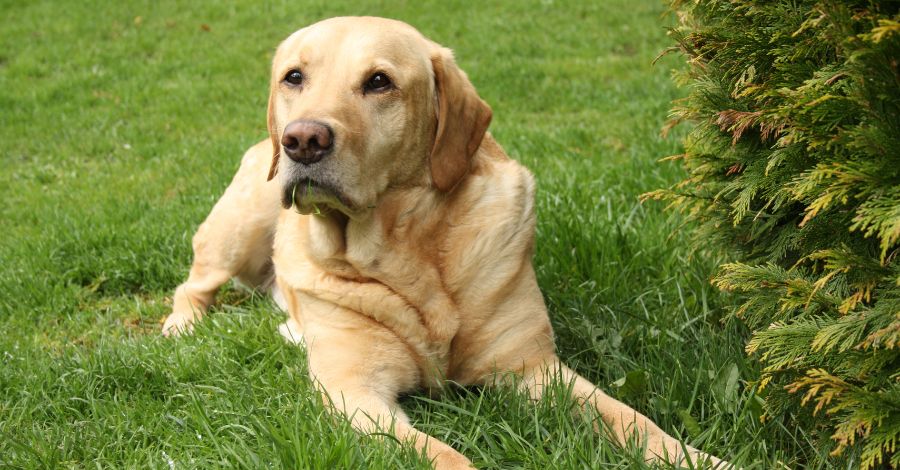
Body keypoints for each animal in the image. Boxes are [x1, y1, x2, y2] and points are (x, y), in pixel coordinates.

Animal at [160, 15, 724, 470]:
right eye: (293, 77)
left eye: (379, 81)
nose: (302, 140)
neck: (403, 251)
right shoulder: (355, 393)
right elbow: (443, 455)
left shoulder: (536, 369)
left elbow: (632, 419)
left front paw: (699, 458)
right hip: (239, 227)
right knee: (194, 286)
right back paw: (179, 329)